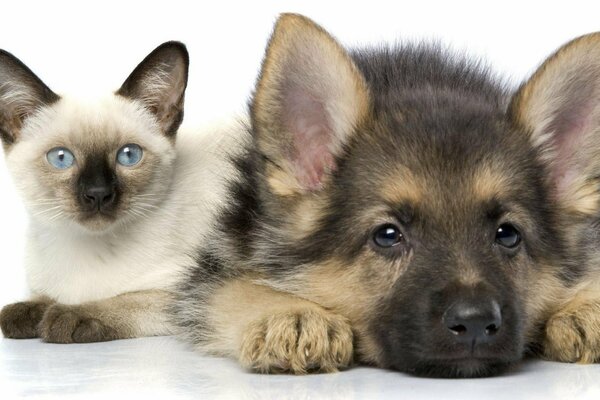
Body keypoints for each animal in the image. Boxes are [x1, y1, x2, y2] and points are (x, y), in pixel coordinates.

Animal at [0, 40, 239, 342]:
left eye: (128, 155)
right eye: (61, 158)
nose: (98, 193)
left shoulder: (193, 293)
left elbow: (125, 300)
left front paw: (64, 316)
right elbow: (33, 301)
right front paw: (29, 311)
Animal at [175, 14, 596, 378]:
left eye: (508, 235)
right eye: (388, 235)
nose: (475, 322)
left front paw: (585, 305)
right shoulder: (215, 265)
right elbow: (232, 289)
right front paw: (291, 314)